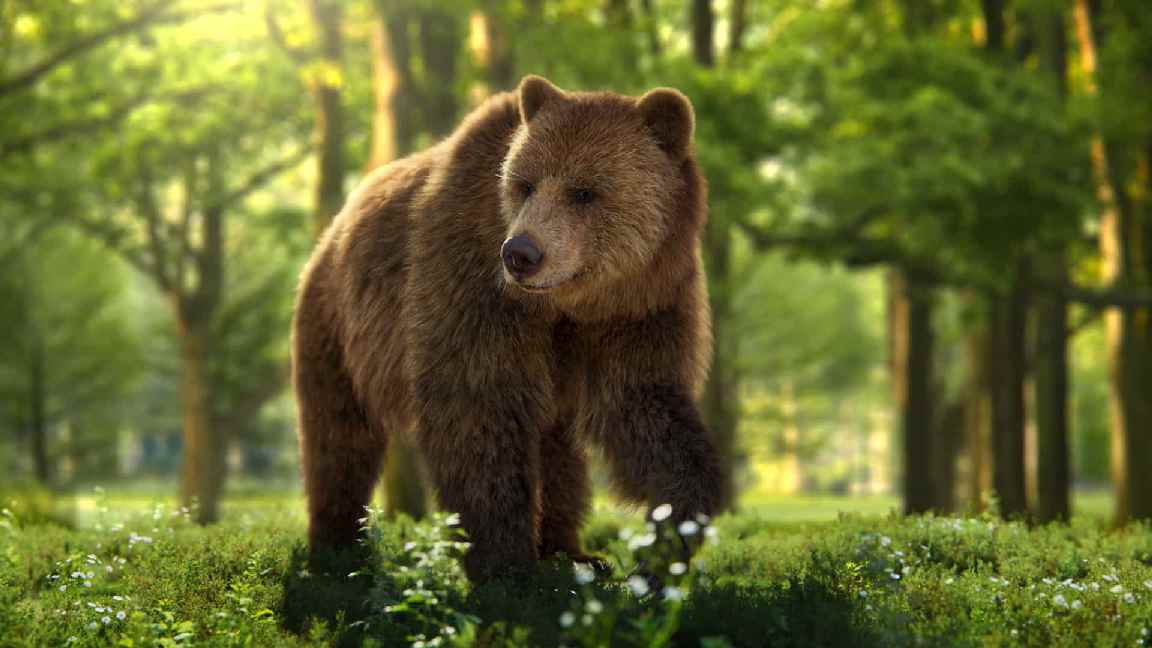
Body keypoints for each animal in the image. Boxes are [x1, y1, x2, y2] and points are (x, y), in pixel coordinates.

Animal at [292, 74, 723, 580]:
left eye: (584, 192)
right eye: (524, 185)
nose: (521, 253)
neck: (567, 304)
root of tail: (333, 227)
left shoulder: (641, 306)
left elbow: (645, 404)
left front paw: (671, 534)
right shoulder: (471, 287)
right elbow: (478, 409)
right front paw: (505, 564)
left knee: (556, 447)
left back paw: (569, 551)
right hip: (336, 323)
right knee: (338, 435)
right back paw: (336, 549)